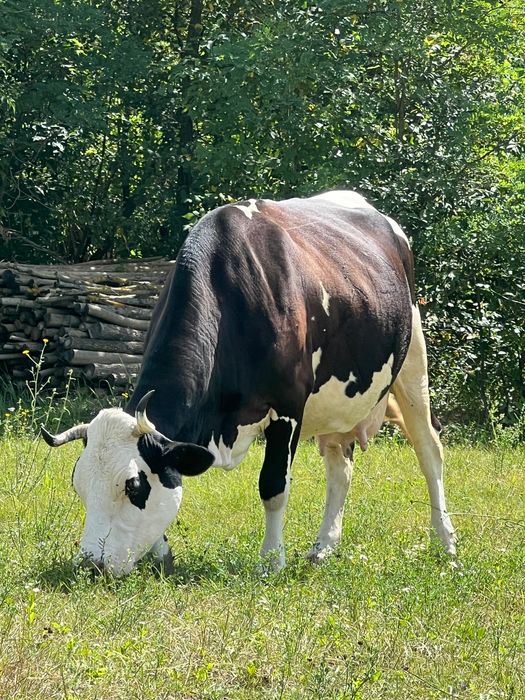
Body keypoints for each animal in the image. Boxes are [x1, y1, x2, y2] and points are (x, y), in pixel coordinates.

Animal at [42, 190, 456, 576]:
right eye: (78, 485)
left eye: (133, 486)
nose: (90, 564)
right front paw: (162, 554)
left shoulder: (288, 406)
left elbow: (273, 487)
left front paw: (271, 561)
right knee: (341, 467)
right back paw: (323, 547)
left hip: (413, 358)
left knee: (429, 451)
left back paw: (446, 544)